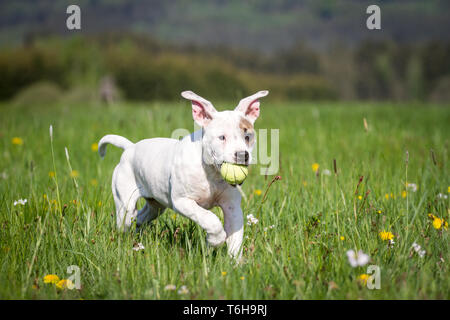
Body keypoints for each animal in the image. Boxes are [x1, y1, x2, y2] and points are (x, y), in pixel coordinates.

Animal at [98, 89, 268, 258]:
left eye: (248, 137)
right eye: (222, 137)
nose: (243, 155)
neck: (211, 172)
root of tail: (130, 147)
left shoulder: (232, 207)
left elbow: (235, 239)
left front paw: (235, 262)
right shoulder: (182, 201)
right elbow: (211, 220)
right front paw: (215, 240)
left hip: (156, 205)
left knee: (141, 217)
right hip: (125, 206)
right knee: (125, 223)